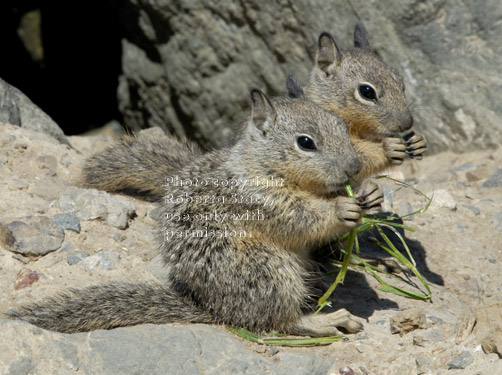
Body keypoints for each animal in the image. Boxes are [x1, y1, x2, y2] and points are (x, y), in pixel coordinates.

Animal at [7, 90, 382, 334]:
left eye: (343, 127)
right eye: (306, 142)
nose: (353, 166)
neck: (263, 167)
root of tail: (212, 306)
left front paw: (371, 192)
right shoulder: (261, 201)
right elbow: (302, 218)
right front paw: (341, 208)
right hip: (268, 270)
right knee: (277, 320)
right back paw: (324, 321)